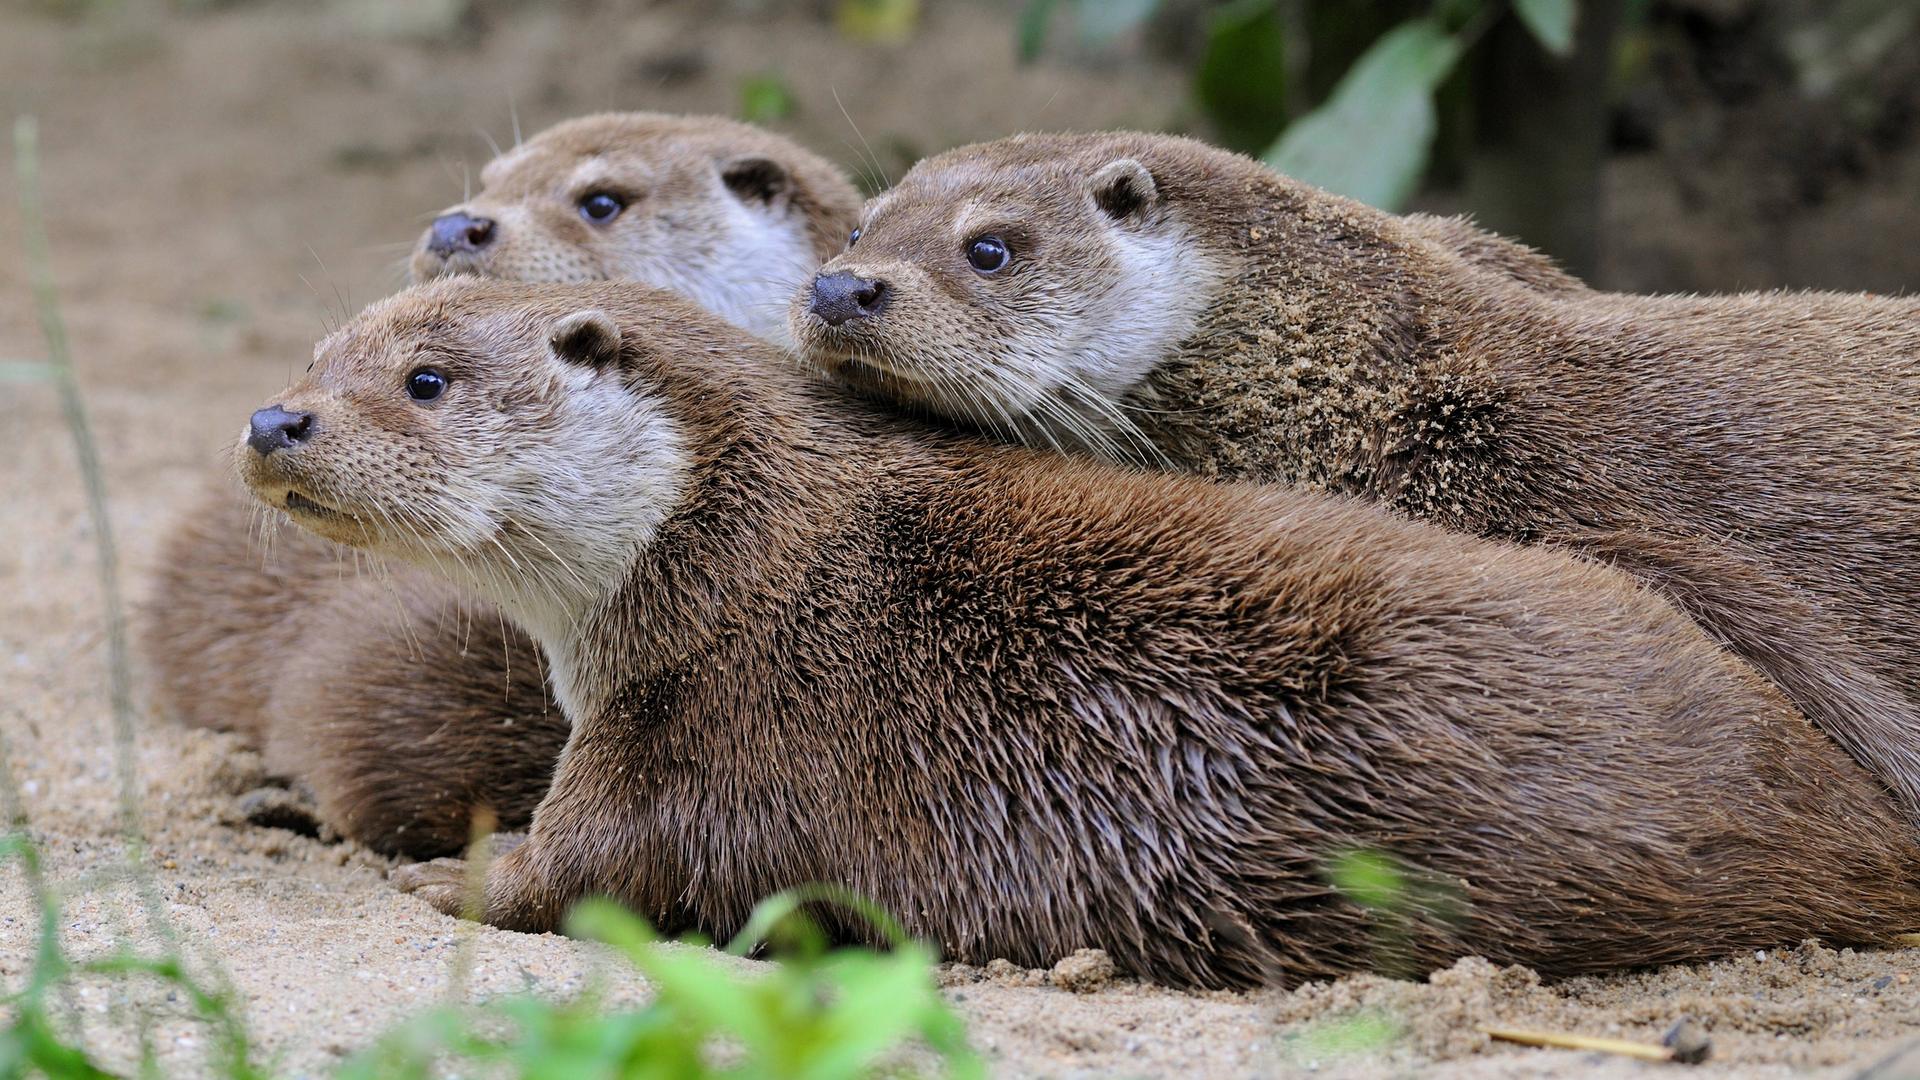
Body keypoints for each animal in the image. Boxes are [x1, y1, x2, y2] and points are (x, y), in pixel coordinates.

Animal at [238, 276, 1920, 989]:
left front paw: (451, 872)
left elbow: (580, 870)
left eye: (428, 381)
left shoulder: (698, 727)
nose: (275, 420)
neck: (733, 549)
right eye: (315, 354)